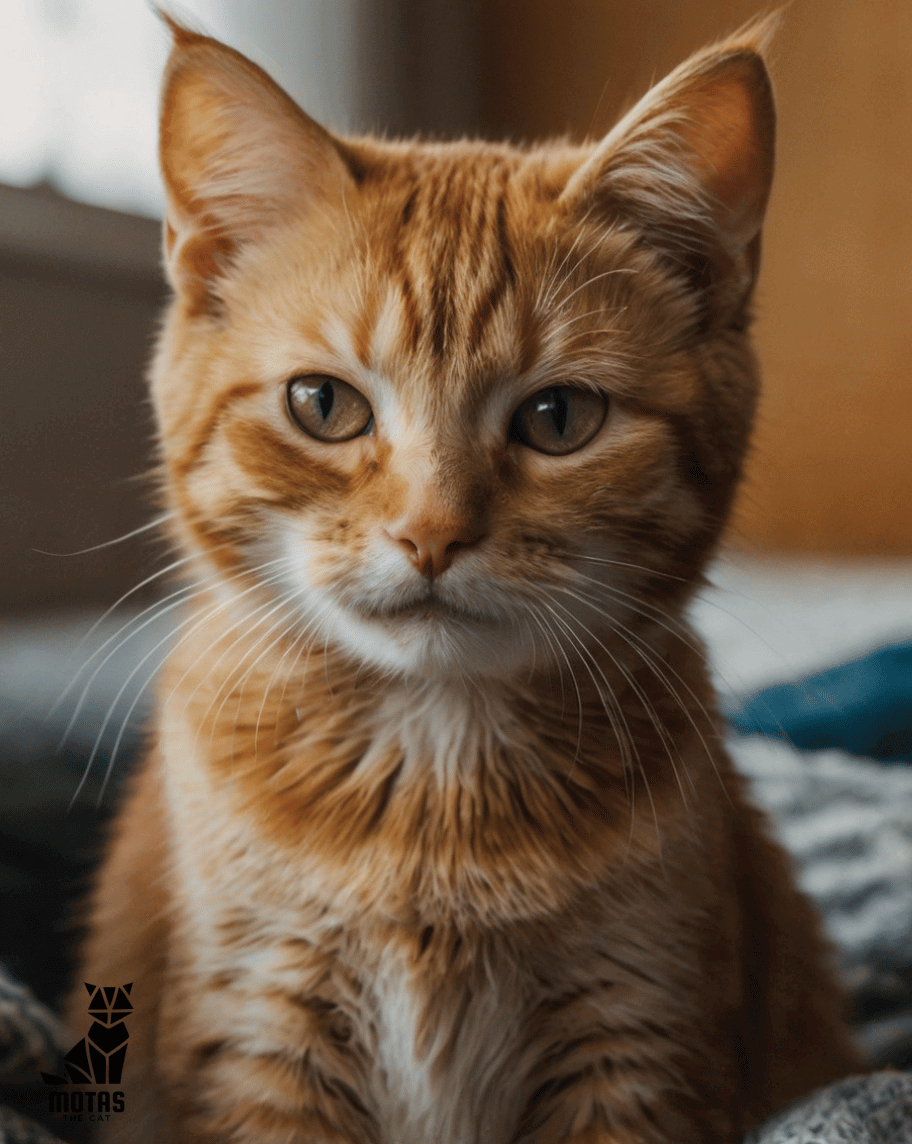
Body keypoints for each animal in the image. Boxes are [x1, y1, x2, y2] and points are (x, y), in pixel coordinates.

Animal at [74, 13, 865, 1139]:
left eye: (559, 417)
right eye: (323, 404)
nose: (432, 535)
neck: (433, 784)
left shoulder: (638, 1042)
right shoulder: (257, 1041)